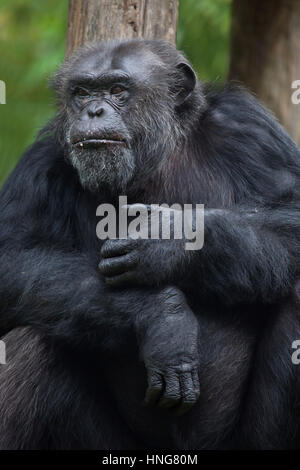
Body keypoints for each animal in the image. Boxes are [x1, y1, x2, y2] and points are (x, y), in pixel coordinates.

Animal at [0, 38, 300, 450]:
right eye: (82, 93)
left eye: (117, 90)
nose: (93, 110)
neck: (154, 158)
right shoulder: (41, 166)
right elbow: (12, 256)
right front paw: (163, 317)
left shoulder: (251, 130)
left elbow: (292, 215)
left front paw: (166, 241)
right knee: (35, 331)